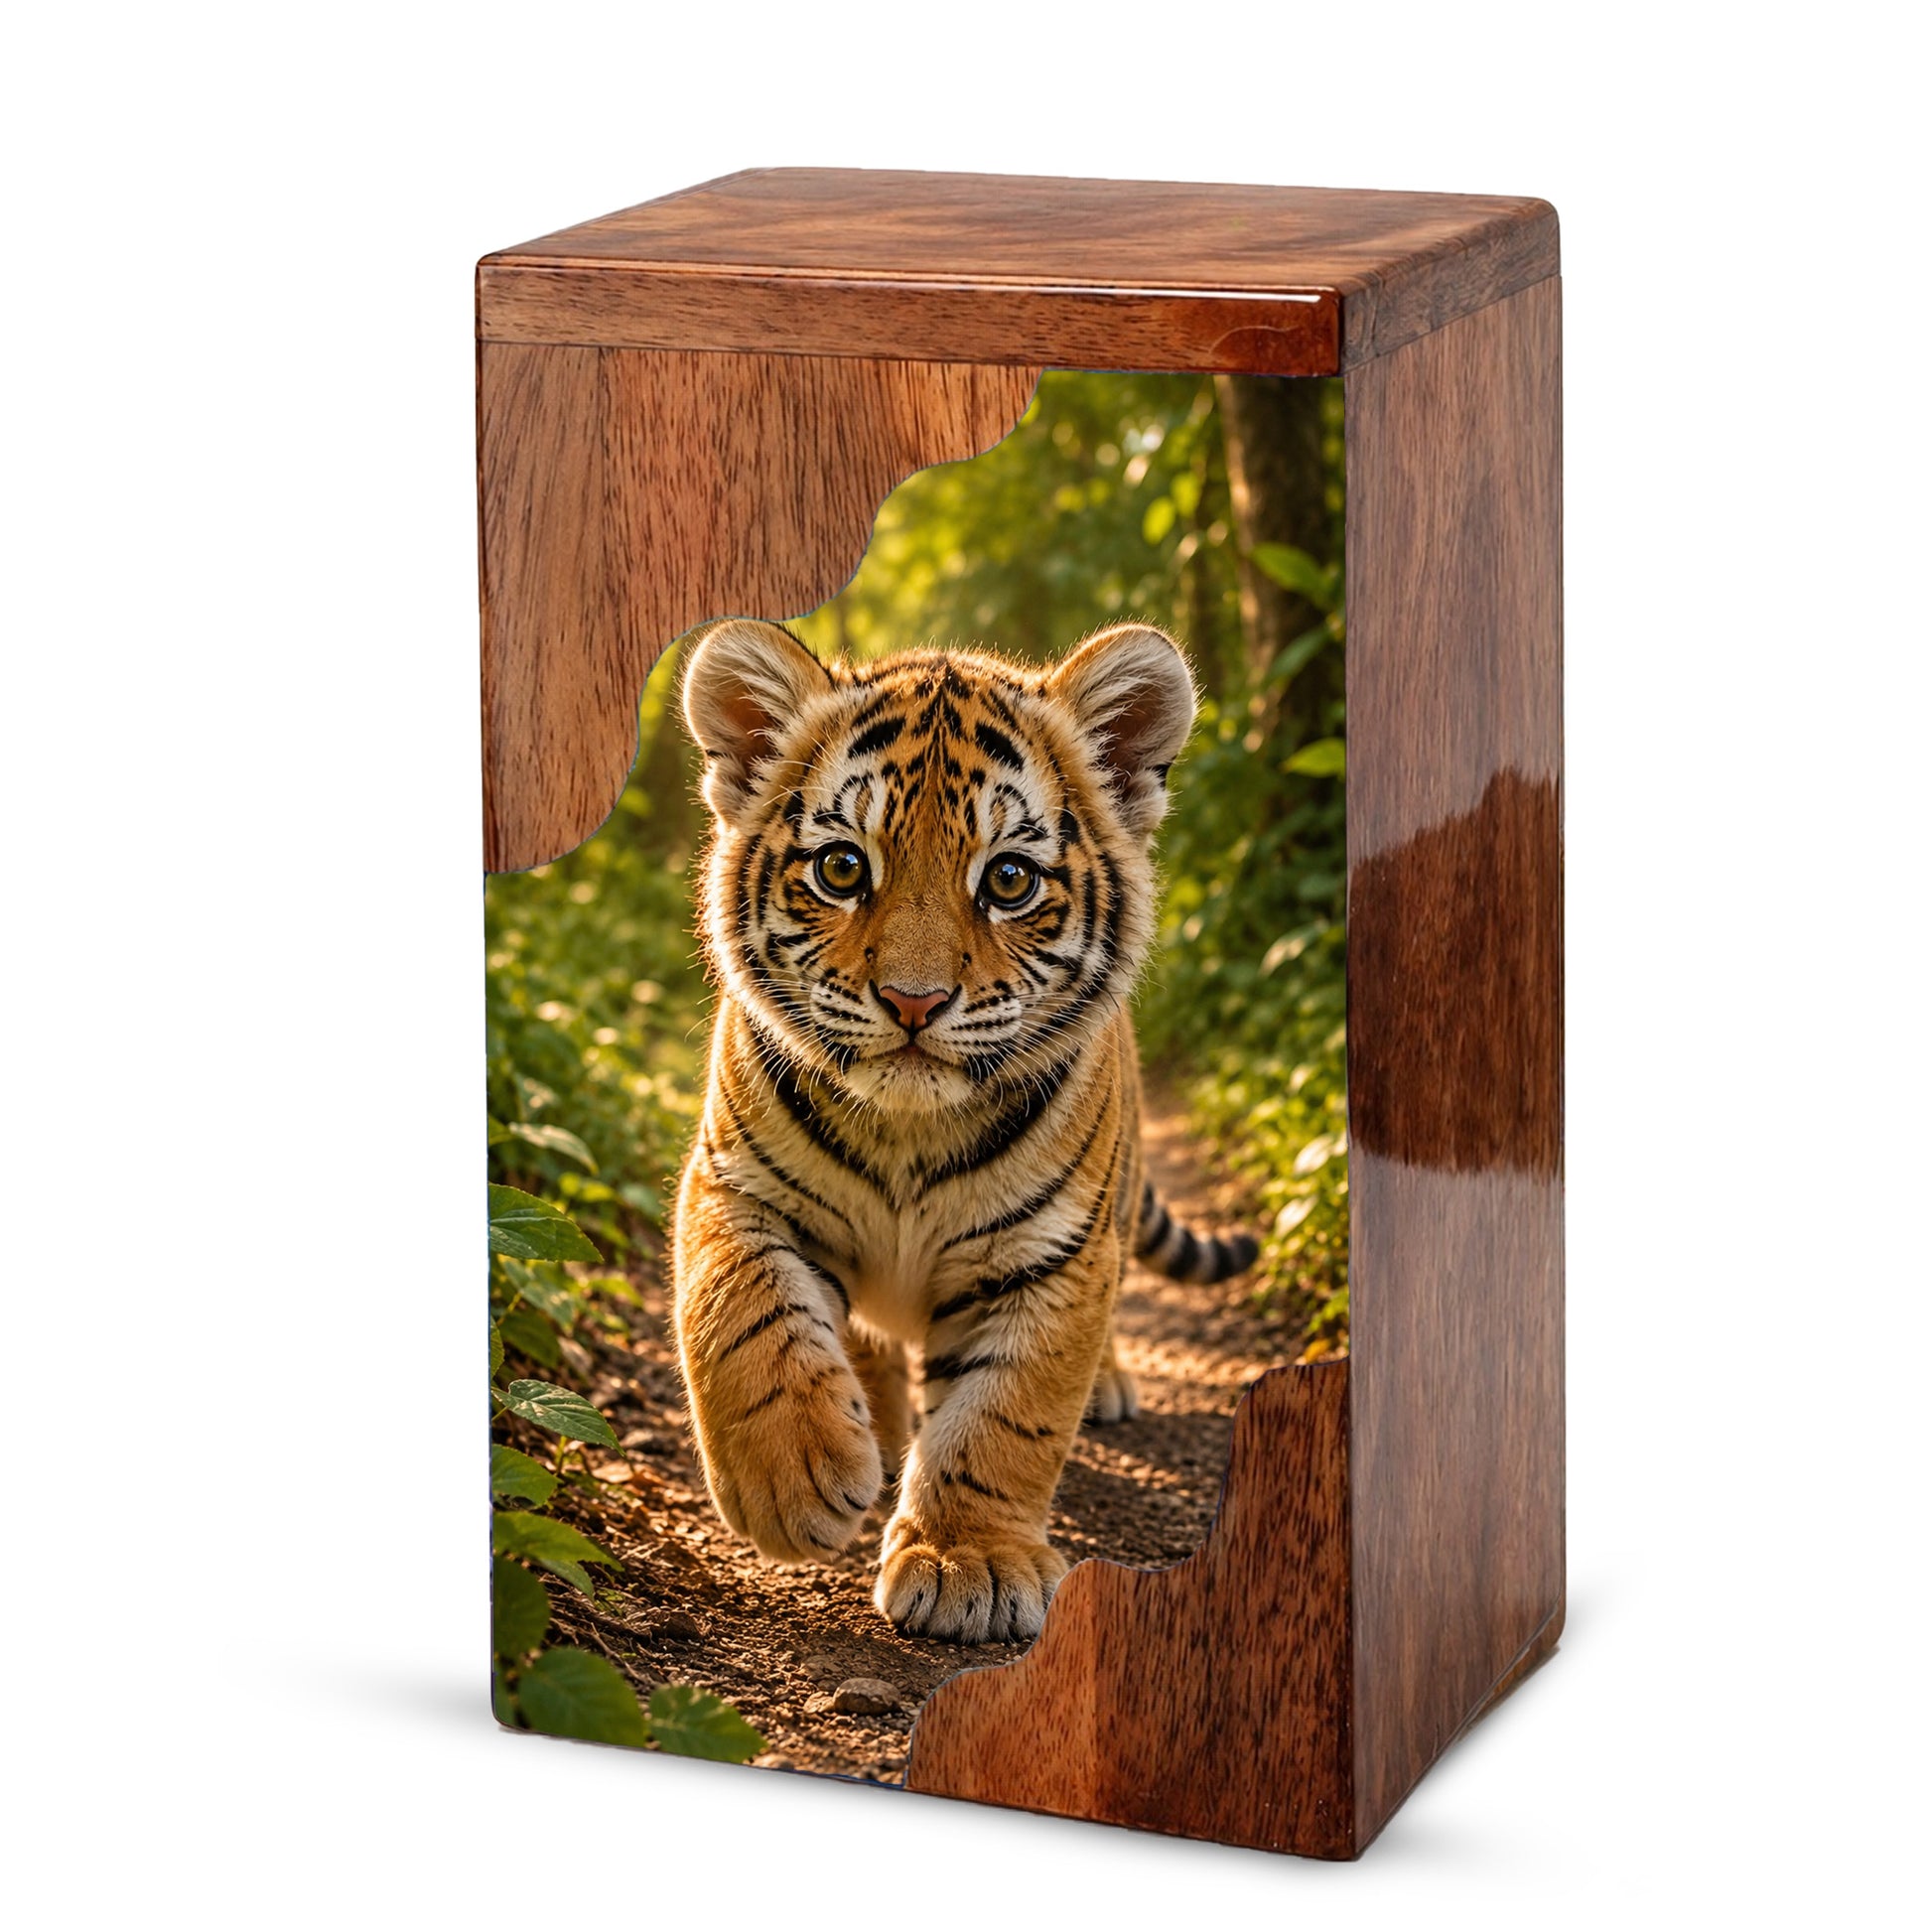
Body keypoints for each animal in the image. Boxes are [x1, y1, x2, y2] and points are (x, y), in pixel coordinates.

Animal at [671, 617, 1259, 1645]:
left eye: (1009, 881)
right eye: (842, 868)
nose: (914, 1001)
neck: (908, 1133)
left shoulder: (1052, 1254)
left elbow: (1005, 1414)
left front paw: (965, 1564)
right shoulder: (734, 1185)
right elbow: (739, 1312)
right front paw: (795, 1482)